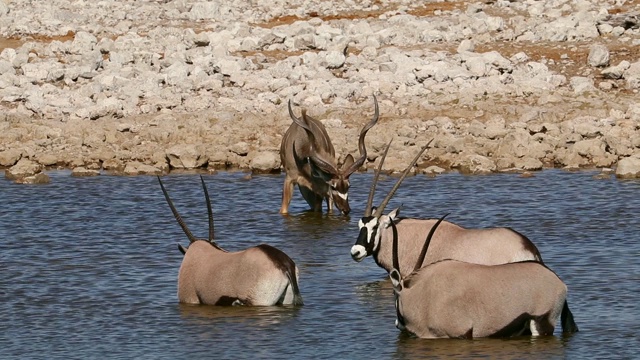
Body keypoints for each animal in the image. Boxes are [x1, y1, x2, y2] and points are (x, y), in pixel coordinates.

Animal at [388, 215, 576, 338]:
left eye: (394, 295)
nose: (397, 324)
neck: (423, 294)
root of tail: (558, 281)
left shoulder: (462, 334)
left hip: (542, 322)